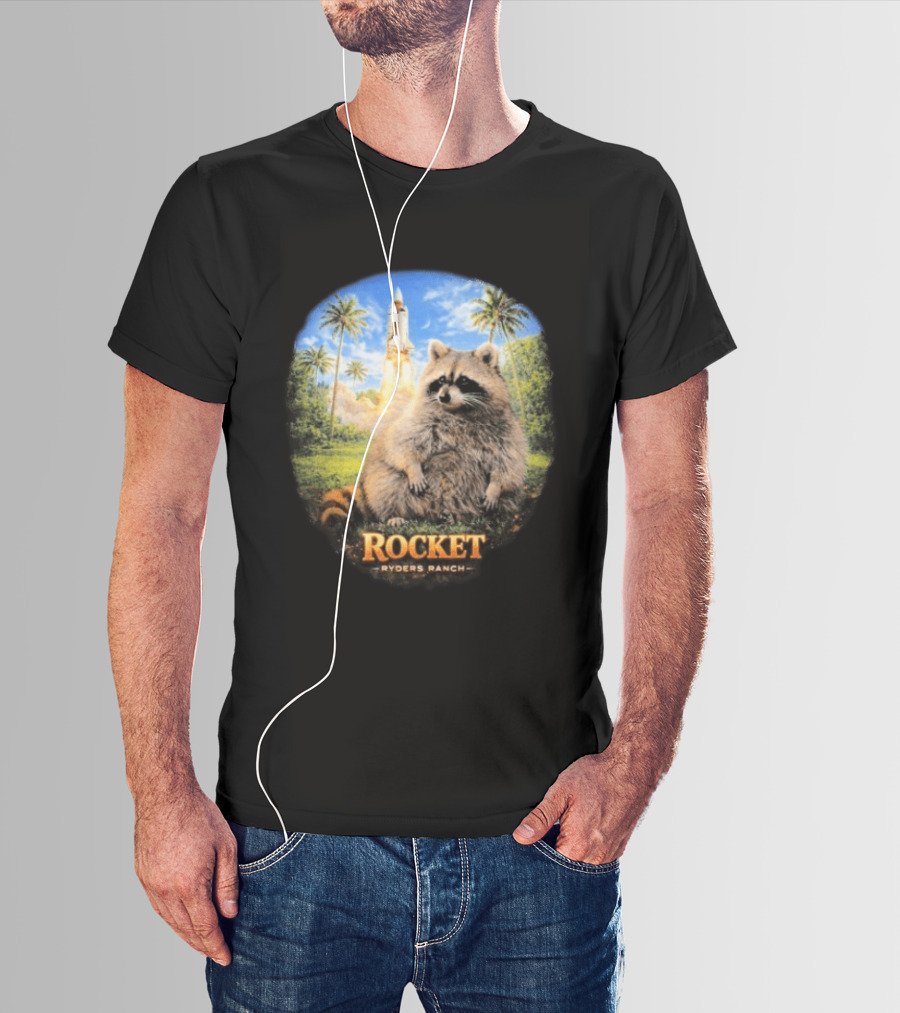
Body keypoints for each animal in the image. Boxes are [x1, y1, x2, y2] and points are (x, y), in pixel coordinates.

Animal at [319, 339, 528, 529]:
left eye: (464, 380)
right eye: (442, 379)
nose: (444, 397)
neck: (459, 411)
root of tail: (431, 512)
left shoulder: (504, 428)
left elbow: (508, 461)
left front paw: (496, 486)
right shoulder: (419, 420)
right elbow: (401, 442)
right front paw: (412, 467)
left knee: (509, 497)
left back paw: (466, 516)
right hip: (385, 480)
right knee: (387, 486)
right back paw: (393, 515)